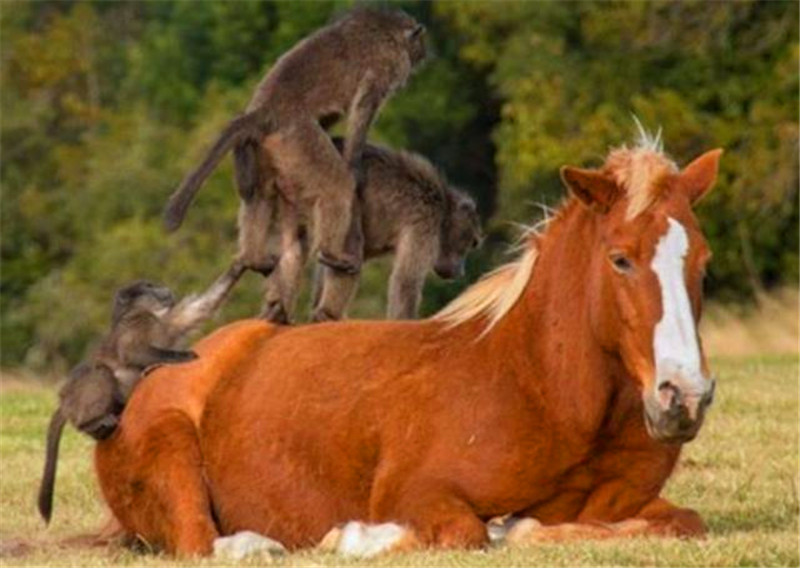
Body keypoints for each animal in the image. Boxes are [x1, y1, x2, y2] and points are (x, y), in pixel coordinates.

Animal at [90, 133, 720, 556]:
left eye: (702, 261)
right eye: (620, 259)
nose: (683, 397)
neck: (540, 387)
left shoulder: (630, 505)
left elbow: (684, 521)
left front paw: (519, 526)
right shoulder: (419, 493)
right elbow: (466, 532)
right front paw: (355, 536)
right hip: (172, 450)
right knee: (205, 541)